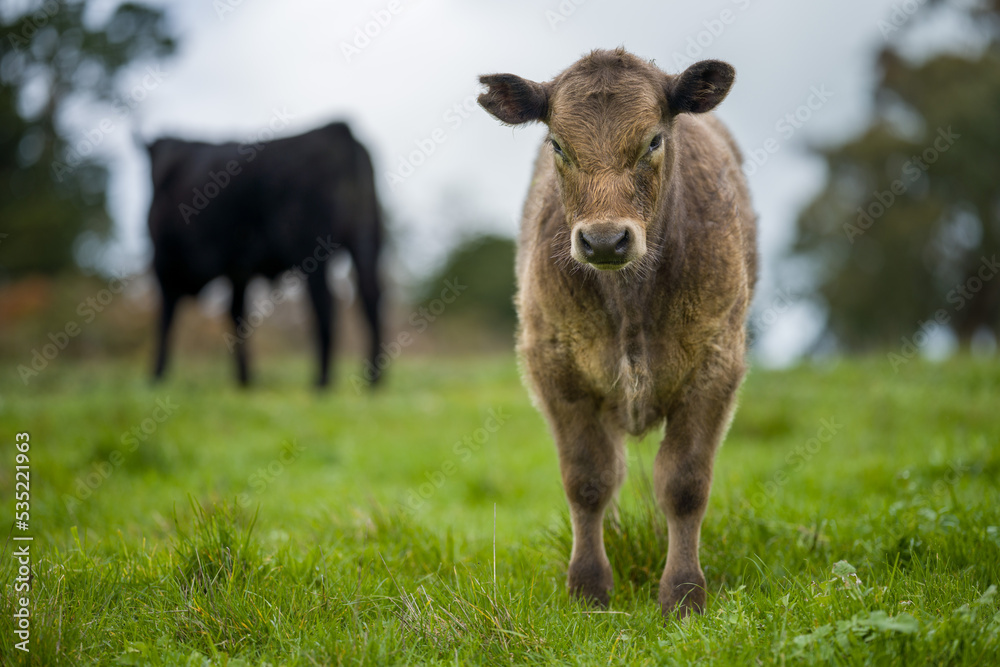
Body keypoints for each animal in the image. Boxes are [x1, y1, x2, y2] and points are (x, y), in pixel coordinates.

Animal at [145, 121, 382, 388]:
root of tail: (339, 129)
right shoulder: (237, 269)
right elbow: (237, 314)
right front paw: (244, 379)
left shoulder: (164, 265)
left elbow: (166, 317)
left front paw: (156, 375)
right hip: (367, 239)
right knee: (371, 297)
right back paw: (374, 380)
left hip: (313, 248)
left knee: (327, 305)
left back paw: (321, 382)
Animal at [479, 48, 757, 618]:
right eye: (557, 144)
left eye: (653, 140)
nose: (605, 240)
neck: (630, 306)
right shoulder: (554, 370)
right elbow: (587, 480)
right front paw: (588, 587)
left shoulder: (717, 366)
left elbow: (684, 484)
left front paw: (683, 593)